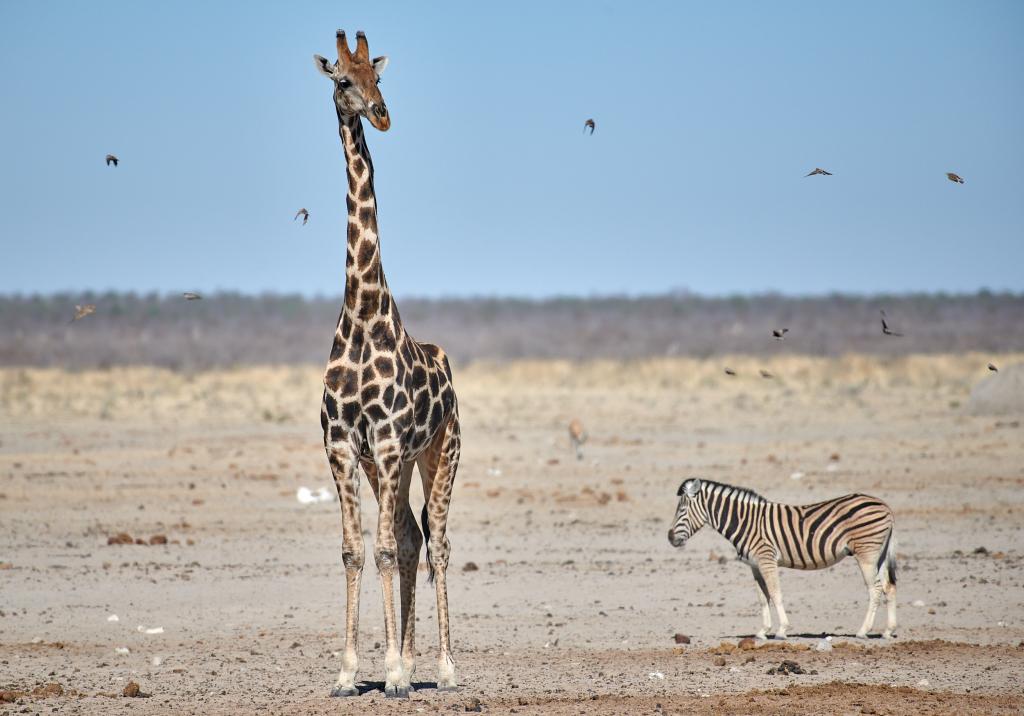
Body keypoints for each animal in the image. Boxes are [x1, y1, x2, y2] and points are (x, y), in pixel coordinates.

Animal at [663, 479, 897, 643]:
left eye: (681, 510)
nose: (670, 538)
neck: (745, 522)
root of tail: (885, 505)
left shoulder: (767, 559)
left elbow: (775, 594)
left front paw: (782, 630)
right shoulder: (755, 566)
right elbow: (762, 597)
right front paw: (763, 631)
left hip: (866, 553)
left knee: (875, 589)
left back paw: (863, 631)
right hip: (879, 554)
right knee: (889, 587)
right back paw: (888, 631)